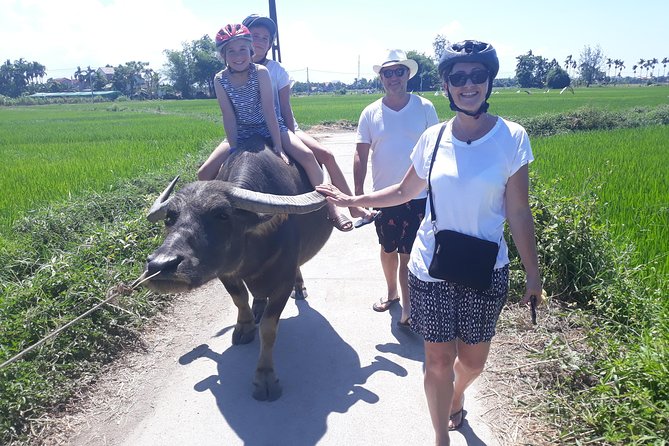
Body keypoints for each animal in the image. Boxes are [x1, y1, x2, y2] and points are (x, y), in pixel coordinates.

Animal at [141, 135, 333, 401]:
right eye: (170, 217)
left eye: (222, 215)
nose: (161, 265)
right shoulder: (225, 272)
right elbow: (239, 297)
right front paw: (244, 326)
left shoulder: (282, 280)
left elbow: (269, 329)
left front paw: (265, 378)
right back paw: (258, 306)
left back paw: (299, 288)